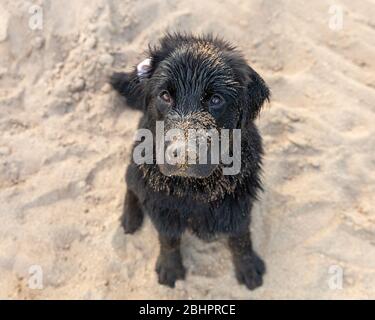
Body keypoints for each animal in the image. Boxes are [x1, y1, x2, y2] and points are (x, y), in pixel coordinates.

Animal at [111, 32, 270, 290]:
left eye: (215, 100)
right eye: (165, 95)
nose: (183, 154)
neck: (195, 188)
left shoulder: (239, 200)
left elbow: (240, 236)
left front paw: (247, 267)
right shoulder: (161, 205)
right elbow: (168, 238)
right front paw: (170, 267)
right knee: (130, 181)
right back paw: (130, 217)